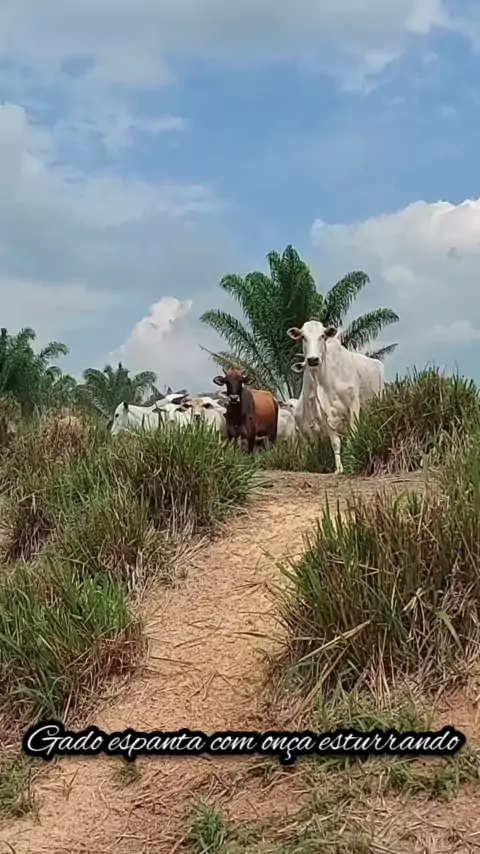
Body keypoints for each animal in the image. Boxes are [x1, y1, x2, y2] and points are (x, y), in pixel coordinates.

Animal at [287, 320, 385, 474]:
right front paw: (339, 468)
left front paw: (352, 463)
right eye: (303, 336)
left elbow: (353, 434)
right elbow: (335, 443)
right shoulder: (324, 414)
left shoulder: (353, 405)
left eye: (322, 336)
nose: (313, 360)